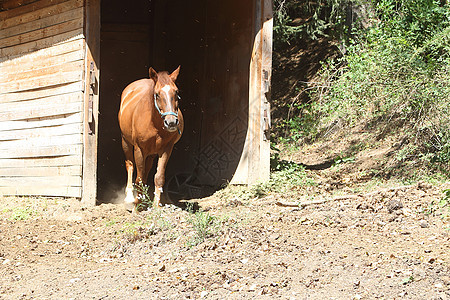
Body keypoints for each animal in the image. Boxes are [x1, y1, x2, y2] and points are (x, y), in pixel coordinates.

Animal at [119, 65, 185, 211]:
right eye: (157, 94)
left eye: (176, 92)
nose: (171, 122)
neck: (154, 123)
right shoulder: (139, 149)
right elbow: (138, 178)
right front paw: (137, 207)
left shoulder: (166, 149)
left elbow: (158, 177)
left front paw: (156, 205)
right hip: (126, 142)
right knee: (130, 165)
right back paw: (130, 198)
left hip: (151, 153)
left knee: (147, 170)